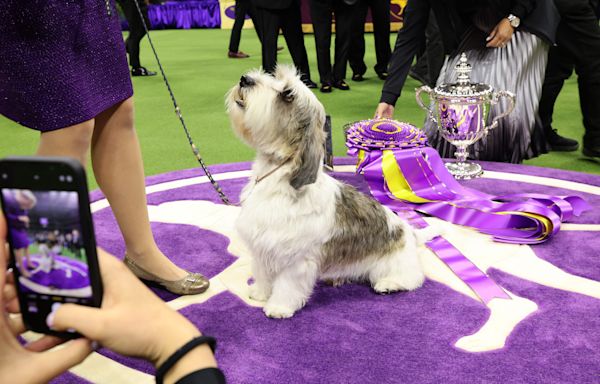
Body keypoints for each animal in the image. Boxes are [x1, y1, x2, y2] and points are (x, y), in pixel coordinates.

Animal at [225, 65, 436, 318]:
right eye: (275, 76)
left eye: (287, 95)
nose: (245, 79)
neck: (278, 177)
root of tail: (410, 233)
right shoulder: (262, 246)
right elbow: (263, 272)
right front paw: (260, 293)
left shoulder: (296, 260)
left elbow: (287, 285)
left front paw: (279, 307)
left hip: (394, 264)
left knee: (413, 278)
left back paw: (389, 284)